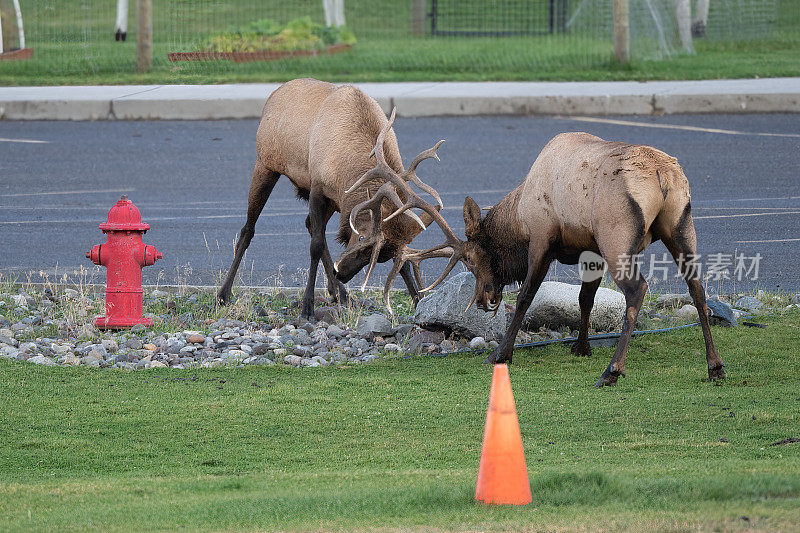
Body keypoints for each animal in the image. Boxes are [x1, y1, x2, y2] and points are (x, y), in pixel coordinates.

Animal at [216, 77, 446, 318]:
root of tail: (275, 93)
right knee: (248, 229)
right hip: (265, 164)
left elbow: (404, 262)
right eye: (362, 238)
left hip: (331, 202)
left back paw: (340, 293)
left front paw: (418, 301)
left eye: (381, 255)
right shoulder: (317, 188)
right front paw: (307, 307)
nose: (341, 272)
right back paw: (224, 294)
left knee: (309, 224)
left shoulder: (341, 199)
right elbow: (315, 245)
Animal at [368, 129, 724, 386]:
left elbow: (526, 296)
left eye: (470, 257)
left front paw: (501, 354)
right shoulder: (590, 248)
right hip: (680, 227)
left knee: (638, 290)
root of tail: (663, 176)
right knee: (697, 288)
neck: (518, 216)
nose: (484, 299)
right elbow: (585, 298)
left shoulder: (541, 238)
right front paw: (581, 347)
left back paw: (612, 371)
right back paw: (715, 366)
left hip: (617, 236)